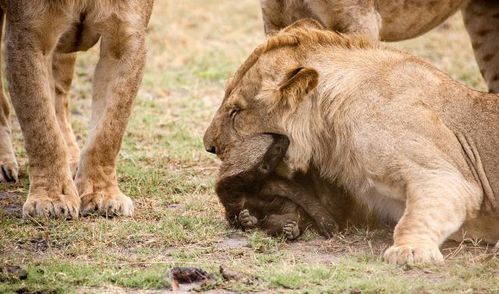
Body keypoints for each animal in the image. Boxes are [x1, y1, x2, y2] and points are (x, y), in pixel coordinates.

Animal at [0, 0, 154, 218]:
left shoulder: (125, 39)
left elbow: (108, 132)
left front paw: (102, 195)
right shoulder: (27, 37)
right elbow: (41, 128)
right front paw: (51, 199)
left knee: (59, 98)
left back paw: (72, 160)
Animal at [203, 20, 499, 264]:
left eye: (236, 112)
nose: (209, 147)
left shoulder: (448, 175)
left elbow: (424, 209)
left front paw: (410, 250)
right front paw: (256, 214)